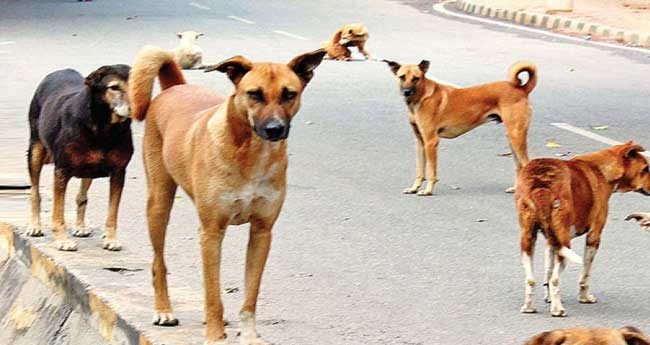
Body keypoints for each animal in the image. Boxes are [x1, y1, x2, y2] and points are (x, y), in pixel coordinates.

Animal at [27, 64, 133, 251]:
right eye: (114, 87)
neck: (103, 128)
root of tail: (62, 70)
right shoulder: (61, 171)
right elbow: (58, 211)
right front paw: (62, 240)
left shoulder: (119, 172)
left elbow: (112, 213)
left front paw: (111, 239)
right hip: (35, 151)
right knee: (35, 191)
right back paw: (35, 226)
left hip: (88, 169)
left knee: (81, 196)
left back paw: (81, 226)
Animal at [130, 45, 326, 344]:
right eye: (254, 94)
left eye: (289, 94)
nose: (275, 130)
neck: (251, 153)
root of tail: (175, 87)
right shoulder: (211, 232)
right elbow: (213, 294)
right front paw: (214, 335)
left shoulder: (262, 232)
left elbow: (251, 294)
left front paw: (249, 335)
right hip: (159, 203)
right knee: (158, 263)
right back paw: (164, 310)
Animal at [380, 59, 536, 194]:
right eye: (402, 77)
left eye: (416, 78)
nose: (406, 91)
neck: (422, 96)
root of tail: (521, 89)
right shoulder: (420, 141)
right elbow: (420, 170)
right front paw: (414, 188)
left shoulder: (431, 142)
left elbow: (431, 171)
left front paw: (428, 190)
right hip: (512, 138)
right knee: (519, 166)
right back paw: (516, 189)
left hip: (516, 136)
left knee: (526, 164)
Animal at [516, 142, 648, 318]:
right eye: (646, 168)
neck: (601, 170)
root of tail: (541, 186)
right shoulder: (594, 236)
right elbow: (585, 274)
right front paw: (584, 298)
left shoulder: (551, 241)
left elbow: (548, 272)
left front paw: (548, 298)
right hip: (564, 243)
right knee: (556, 280)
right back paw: (558, 310)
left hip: (528, 240)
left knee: (531, 279)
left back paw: (529, 307)